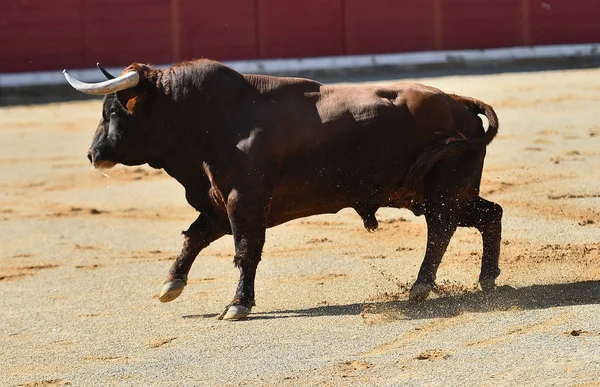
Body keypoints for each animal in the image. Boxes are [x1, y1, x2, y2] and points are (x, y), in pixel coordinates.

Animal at [63, 59, 502, 322]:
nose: (92, 154)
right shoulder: (219, 203)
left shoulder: (244, 201)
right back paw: (486, 279)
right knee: (489, 214)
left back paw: (421, 286)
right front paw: (171, 284)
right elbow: (193, 237)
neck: (212, 119)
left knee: (441, 230)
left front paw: (237, 304)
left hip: (442, 191)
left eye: (113, 111)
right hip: (441, 193)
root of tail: (459, 100)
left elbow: (245, 251)